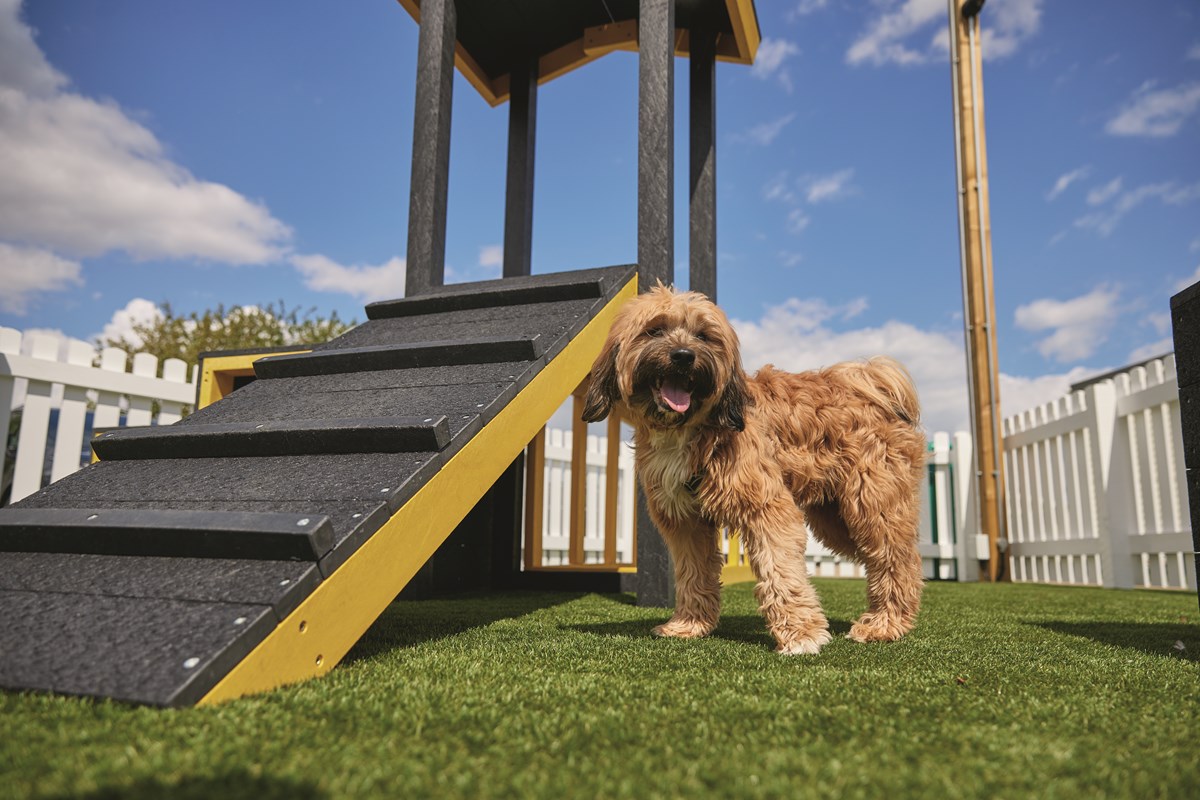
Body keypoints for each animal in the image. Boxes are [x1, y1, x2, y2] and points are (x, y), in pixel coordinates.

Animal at [580, 284, 926, 652]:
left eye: (703, 335)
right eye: (654, 330)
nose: (684, 356)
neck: (691, 427)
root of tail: (874, 387)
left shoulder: (767, 508)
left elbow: (781, 569)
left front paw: (801, 634)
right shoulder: (686, 522)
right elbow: (692, 573)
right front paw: (689, 624)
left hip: (872, 503)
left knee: (896, 559)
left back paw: (885, 624)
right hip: (834, 519)